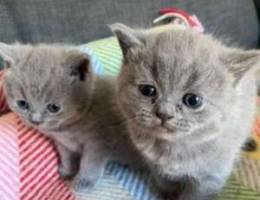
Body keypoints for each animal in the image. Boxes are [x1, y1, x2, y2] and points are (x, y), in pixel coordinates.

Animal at [0, 43, 141, 191]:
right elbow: (66, 157)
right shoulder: (63, 143)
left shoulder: (99, 142)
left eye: (54, 107)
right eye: (22, 104)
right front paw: (67, 171)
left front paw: (84, 180)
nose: (35, 120)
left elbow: (90, 162)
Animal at [111, 23, 260, 200]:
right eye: (147, 90)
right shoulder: (155, 167)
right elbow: (165, 185)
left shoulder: (209, 179)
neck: (172, 150)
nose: (164, 113)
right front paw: (167, 196)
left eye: (193, 100)